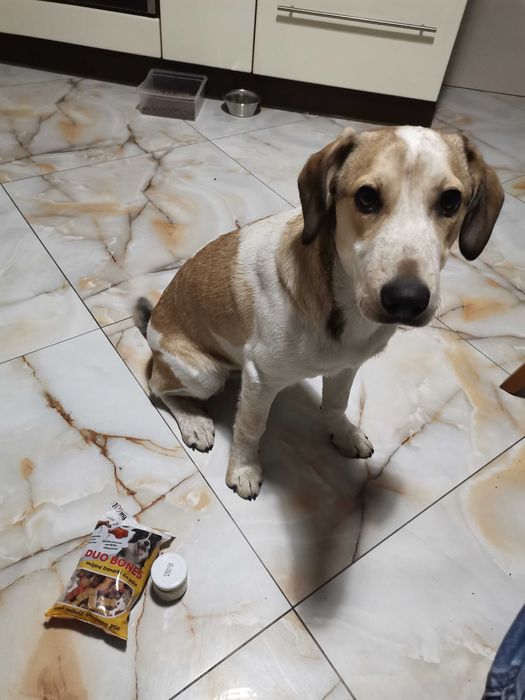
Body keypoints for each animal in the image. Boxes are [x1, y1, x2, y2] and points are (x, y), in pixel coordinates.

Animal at [136, 126, 503, 501]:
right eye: (366, 197)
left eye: (451, 201)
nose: (407, 299)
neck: (341, 304)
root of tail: (152, 323)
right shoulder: (261, 377)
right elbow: (251, 427)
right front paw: (244, 469)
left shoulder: (346, 367)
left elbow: (336, 405)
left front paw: (344, 435)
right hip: (204, 374)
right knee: (157, 387)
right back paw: (194, 422)